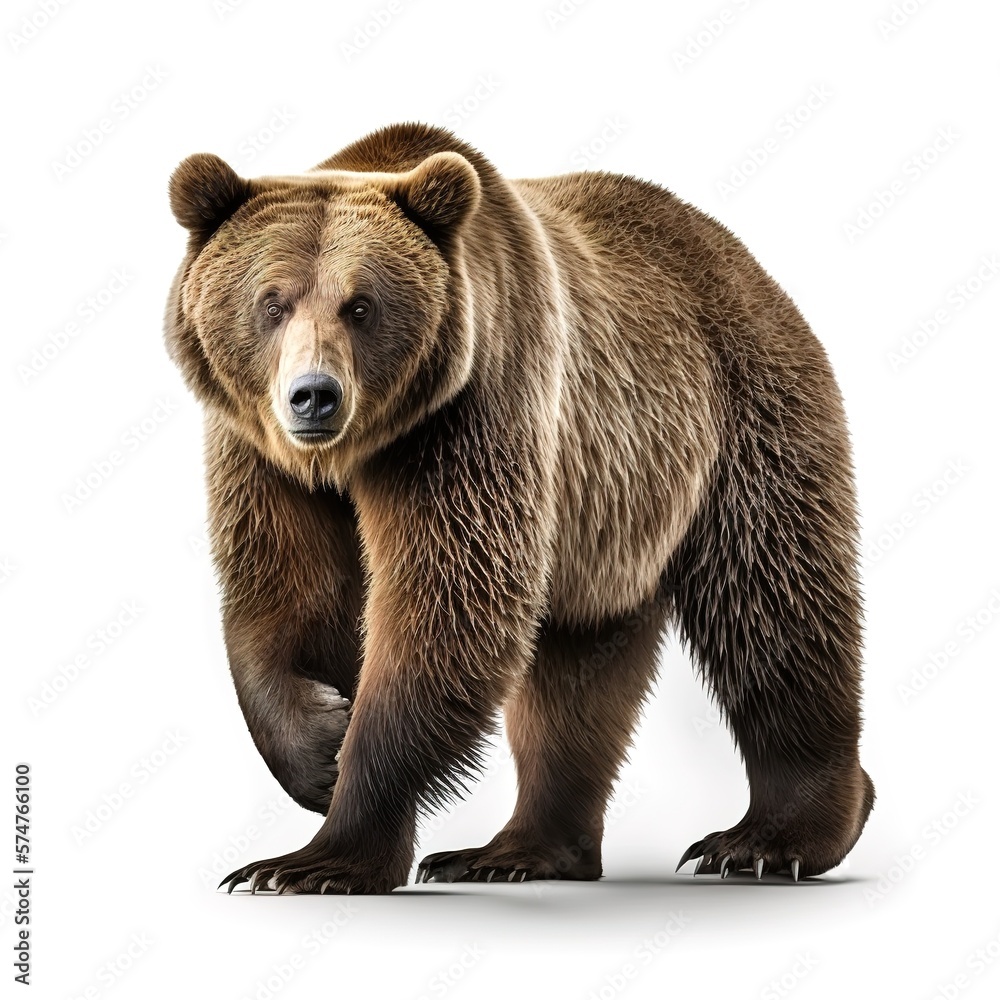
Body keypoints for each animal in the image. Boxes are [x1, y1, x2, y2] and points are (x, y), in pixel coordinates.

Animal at [164, 122, 874, 894]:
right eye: (272, 302)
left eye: (360, 305)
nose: (314, 396)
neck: (359, 451)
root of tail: (744, 260)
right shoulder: (264, 456)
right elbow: (285, 591)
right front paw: (318, 746)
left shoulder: (475, 408)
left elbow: (448, 602)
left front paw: (315, 858)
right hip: (604, 523)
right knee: (573, 684)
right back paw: (516, 851)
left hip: (740, 426)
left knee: (774, 606)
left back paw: (771, 839)